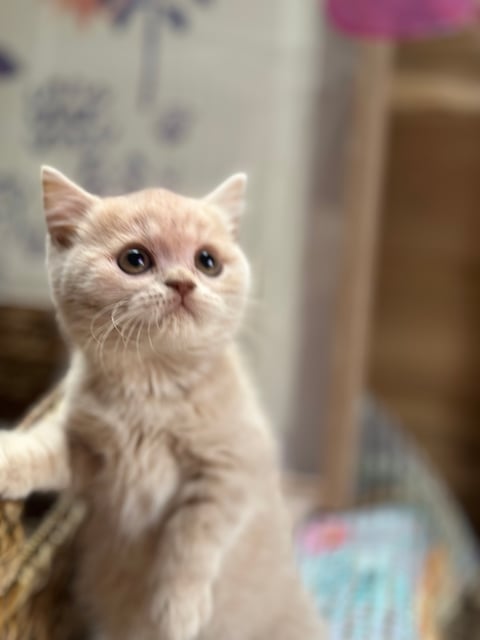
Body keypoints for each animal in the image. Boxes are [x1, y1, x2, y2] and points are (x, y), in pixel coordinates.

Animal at [0, 170, 326, 640]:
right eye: (134, 260)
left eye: (207, 261)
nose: (182, 282)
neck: (152, 392)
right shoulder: (87, 454)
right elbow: (40, 448)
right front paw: (7, 458)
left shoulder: (232, 468)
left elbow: (193, 536)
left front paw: (178, 609)